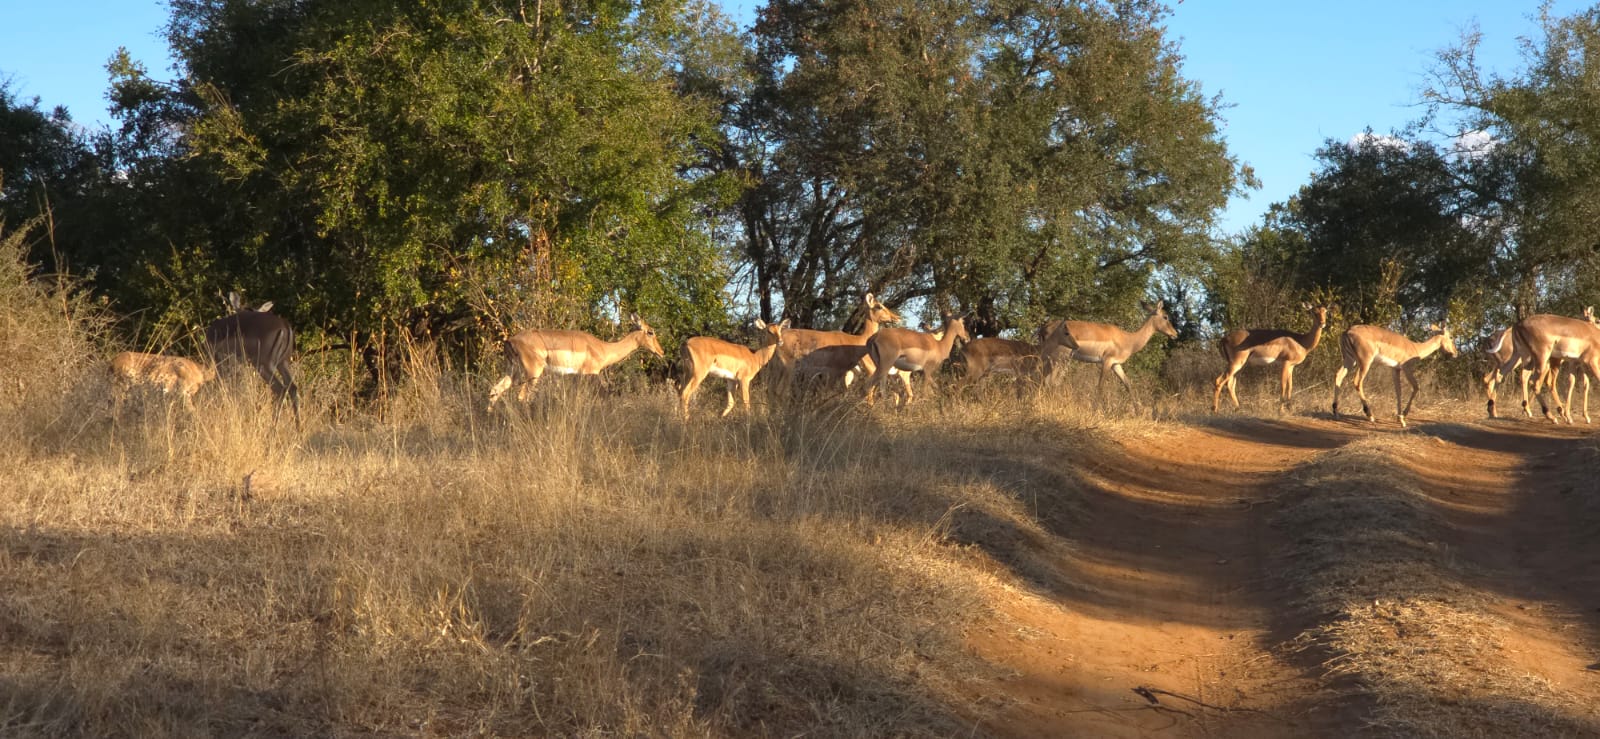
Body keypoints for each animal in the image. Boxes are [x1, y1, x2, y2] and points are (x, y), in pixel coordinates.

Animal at [487, 313, 666, 411]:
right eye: (650, 332)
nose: (661, 352)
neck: (602, 348)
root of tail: (510, 341)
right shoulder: (591, 375)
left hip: (514, 372)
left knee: (495, 390)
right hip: (532, 373)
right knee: (522, 397)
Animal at [1038, 301, 1178, 399]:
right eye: (1165, 316)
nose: (1175, 334)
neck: (1128, 339)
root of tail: (1044, 327)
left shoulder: (1116, 364)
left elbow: (1128, 385)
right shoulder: (1107, 361)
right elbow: (1100, 387)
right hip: (1059, 359)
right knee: (1049, 381)